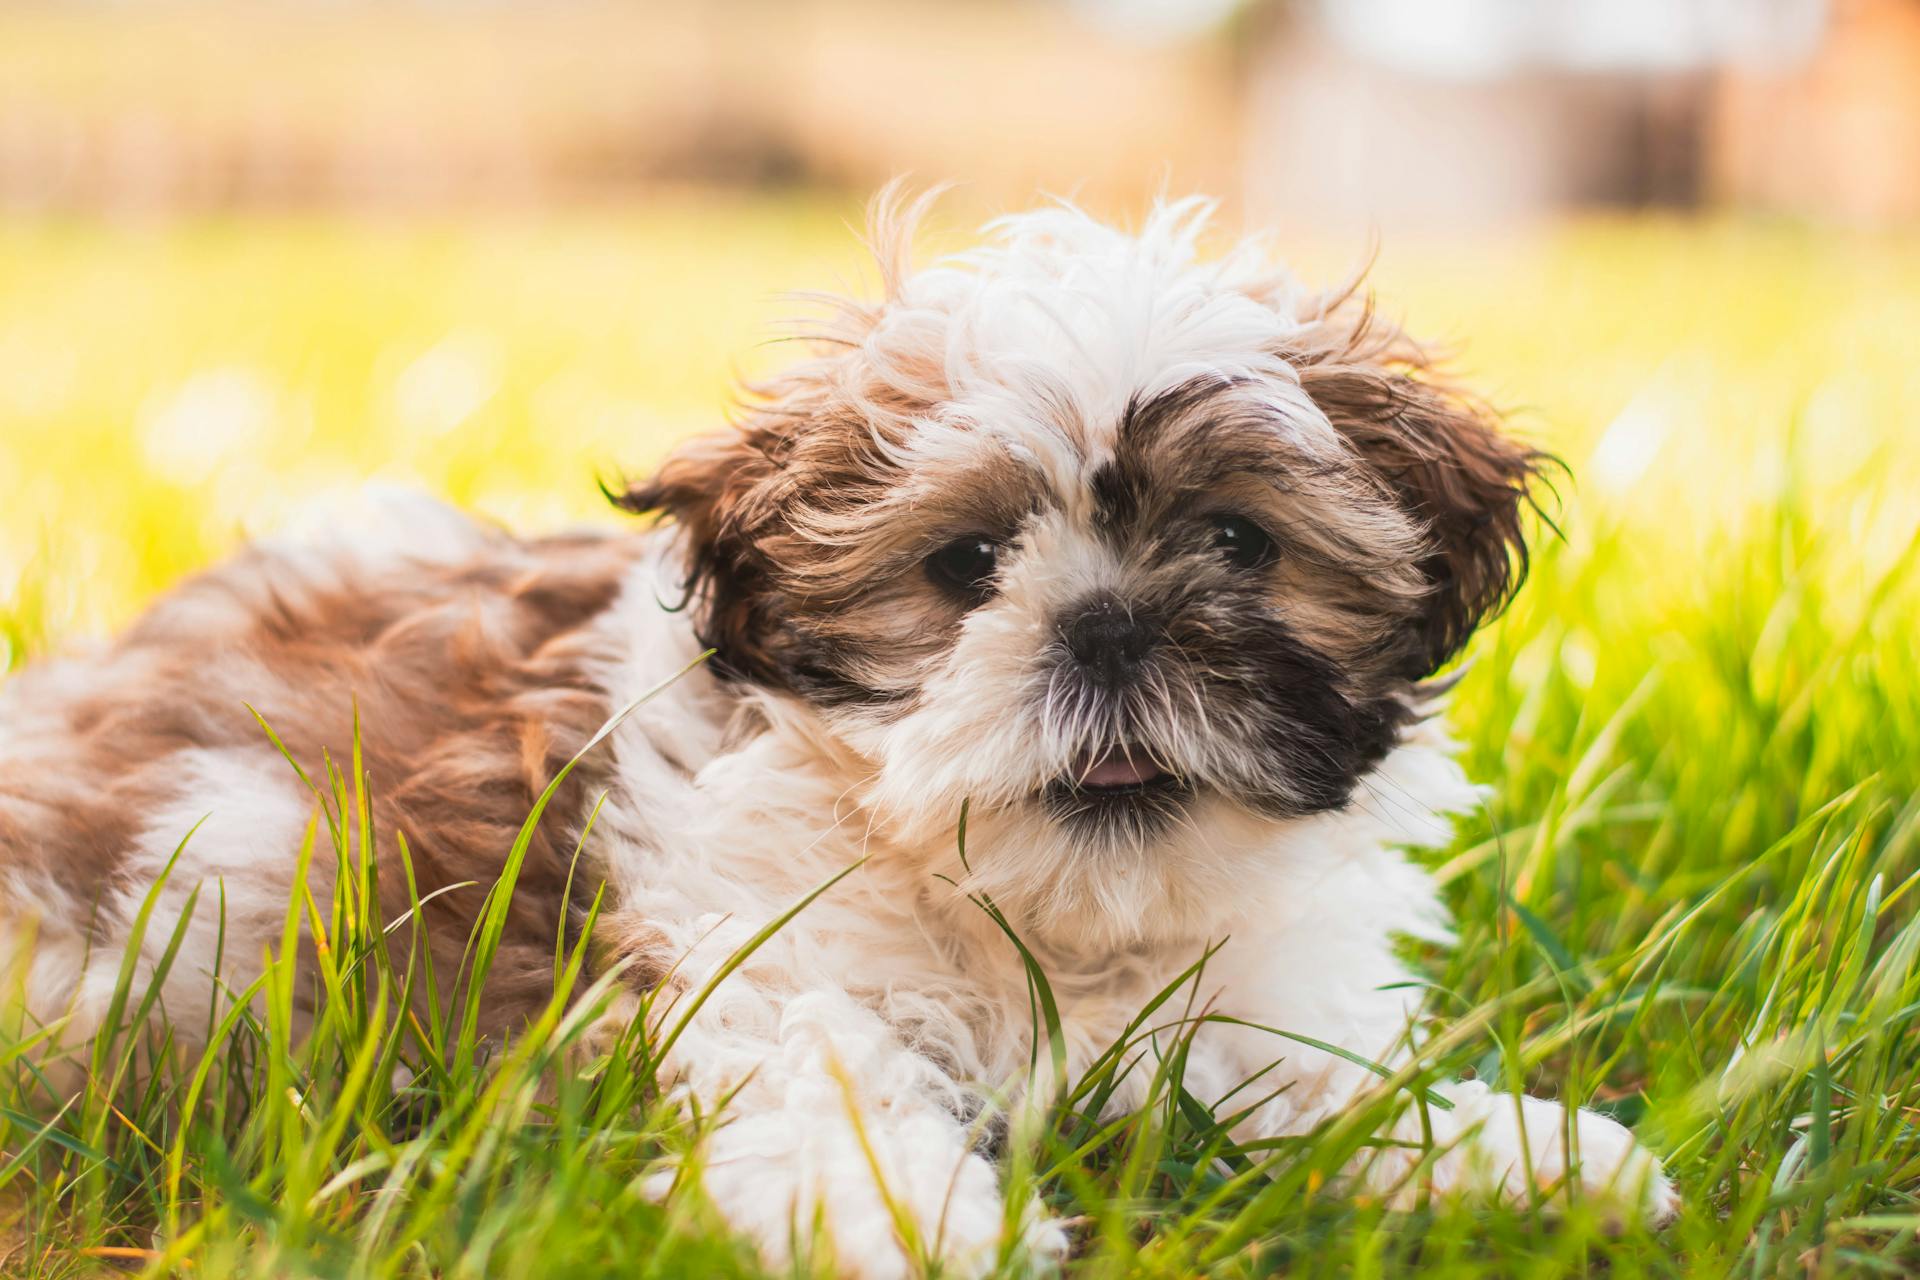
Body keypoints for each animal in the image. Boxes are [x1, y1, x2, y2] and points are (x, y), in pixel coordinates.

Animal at [0, 195, 1674, 1274]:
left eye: (1239, 544)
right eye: (968, 567)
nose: (1107, 625)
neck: (1049, 923)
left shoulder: (1232, 1001)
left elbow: (1306, 1083)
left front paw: (1515, 1158)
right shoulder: (755, 960)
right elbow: (831, 1089)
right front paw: (911, 1223)